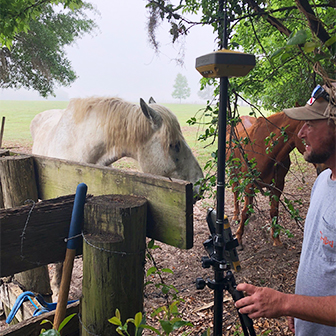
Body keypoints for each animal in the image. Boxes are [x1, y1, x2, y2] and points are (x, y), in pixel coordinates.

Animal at [226, 111, 308, 245]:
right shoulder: (249, 183)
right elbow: (245, 212)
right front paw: (238, 236)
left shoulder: (278, 185)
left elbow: (274, 211)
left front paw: (276, 239)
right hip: (233, 170)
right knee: (235, 191)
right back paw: (235, 215)